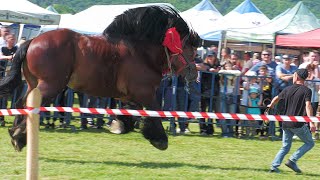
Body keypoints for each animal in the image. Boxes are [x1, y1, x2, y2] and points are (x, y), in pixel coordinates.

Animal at [0, 5, 200, 151]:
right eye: (191, 50)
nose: (194, 74)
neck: (141, 52)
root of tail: (32, 41)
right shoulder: (145, 92)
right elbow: (154, 111)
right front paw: (159, 139)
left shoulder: (128, 96)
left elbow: (130, 113)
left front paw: (119, 125)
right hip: (50, 86)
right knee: (28, 105)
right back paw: (18, 135)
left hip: (34, 84)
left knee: (20, 103)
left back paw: (17, 135)